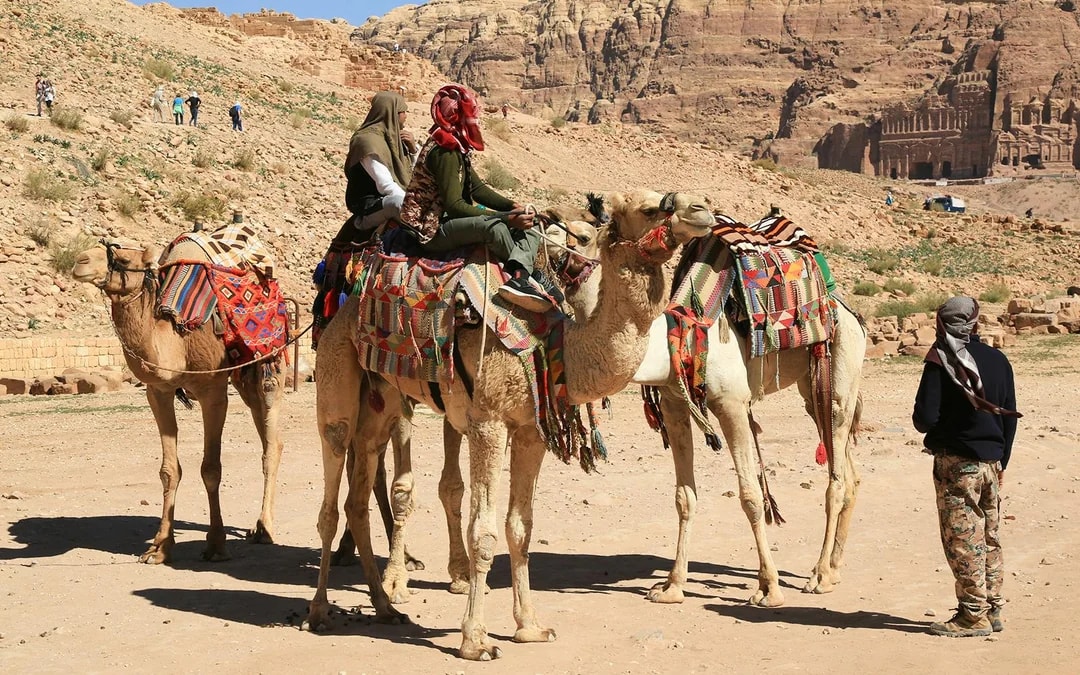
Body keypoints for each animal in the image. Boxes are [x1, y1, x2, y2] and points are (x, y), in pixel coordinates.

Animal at [71, 240, 285, 563]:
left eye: (123, 259)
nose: (79, 261)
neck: (177, 340)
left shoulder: (212, 390)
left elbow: (211, 469)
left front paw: (216, 545)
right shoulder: (158, 391)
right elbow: (169, 471)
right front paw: (159, 548)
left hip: (269, 361)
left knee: (271, 441)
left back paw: (264, 528)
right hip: (242, 375)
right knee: (265, 432)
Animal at [305, 190, 715, 660]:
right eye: (652, 208)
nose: (702, 209)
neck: (552, 341)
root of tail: (345, 307)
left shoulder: (530, 431)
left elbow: (521, 528)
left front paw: (530, 627)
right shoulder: (489, 422)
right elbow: (482, 532)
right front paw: (475, 639)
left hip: (382, 404)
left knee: (357, 500)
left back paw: (385, 606)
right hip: (336, 384)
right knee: (330, 496)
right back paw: (320, 611)